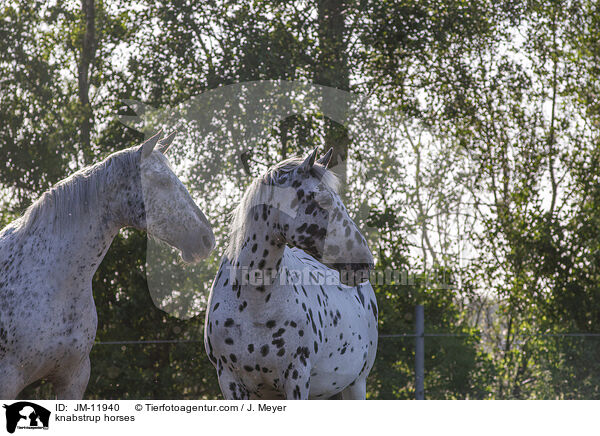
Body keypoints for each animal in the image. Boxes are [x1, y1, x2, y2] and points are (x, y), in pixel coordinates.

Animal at [204, 148, 378, 400]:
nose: (365, 262)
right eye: (322, 202)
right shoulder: (229, 381)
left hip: (355, 385)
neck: (255, 302)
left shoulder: (297, 378)